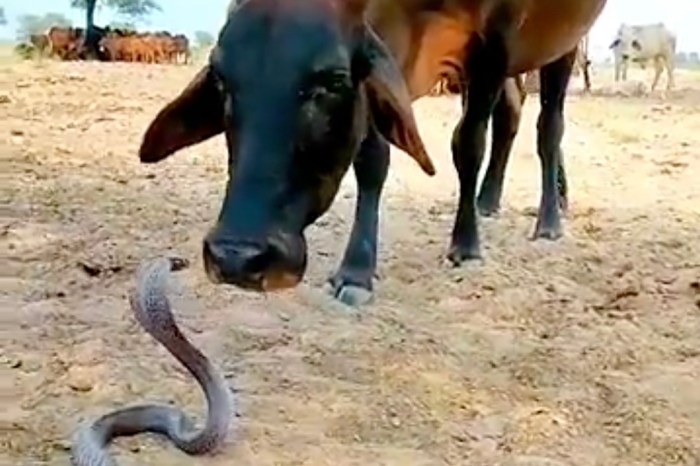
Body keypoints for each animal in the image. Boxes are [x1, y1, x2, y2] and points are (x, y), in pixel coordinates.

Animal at [137, 0, 607, 306]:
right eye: (221, 79)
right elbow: (372, 159)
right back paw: (490, 199)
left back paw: (549, 218)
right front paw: (357, 269)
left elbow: (469, 142)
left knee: (548, 127)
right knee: (511, 115)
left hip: (563, 47)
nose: (235, 257)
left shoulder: (494, 45)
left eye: (333, 80)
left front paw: (466, 244)